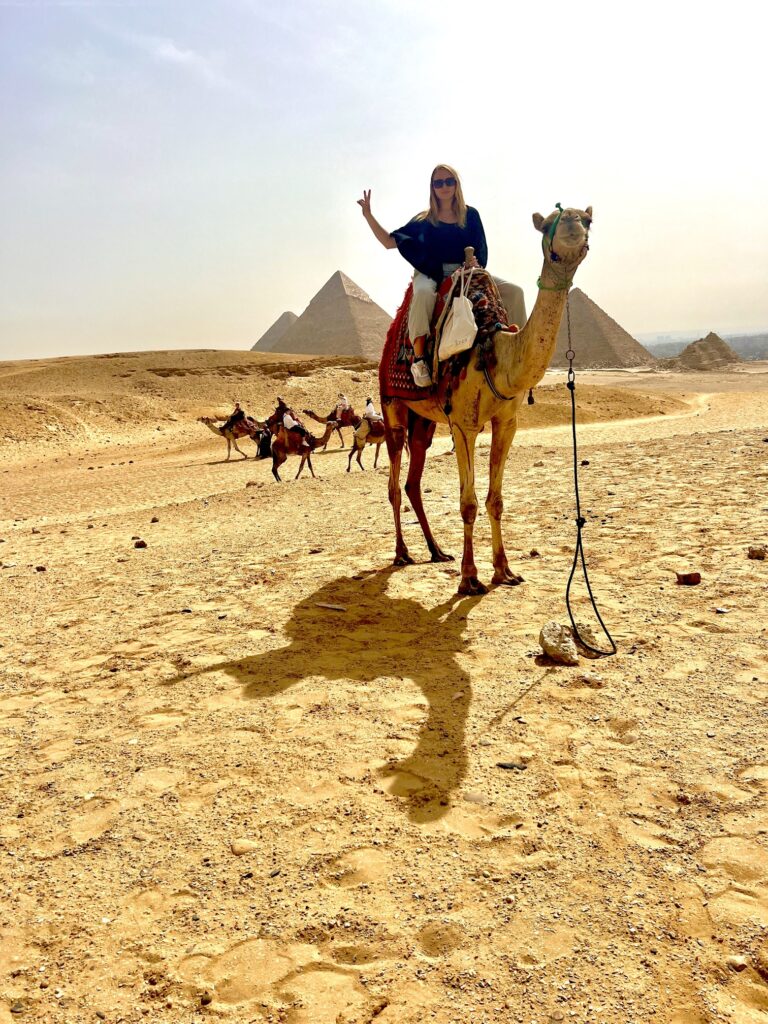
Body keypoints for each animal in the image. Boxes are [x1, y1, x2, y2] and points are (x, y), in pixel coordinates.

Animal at [382, 203, 593, 598]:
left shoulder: (507, 422)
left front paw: (504, 570)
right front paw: (469, 578)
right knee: (394, 482)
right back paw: (402, 553)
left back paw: (436, 550)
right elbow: (468, 504)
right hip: (392, 406)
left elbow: (496, 501)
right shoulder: (463, 424)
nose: (574, 226)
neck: (493, 348)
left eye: (588, 220)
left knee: (413, 480)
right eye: (549, 224)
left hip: (425, 419)